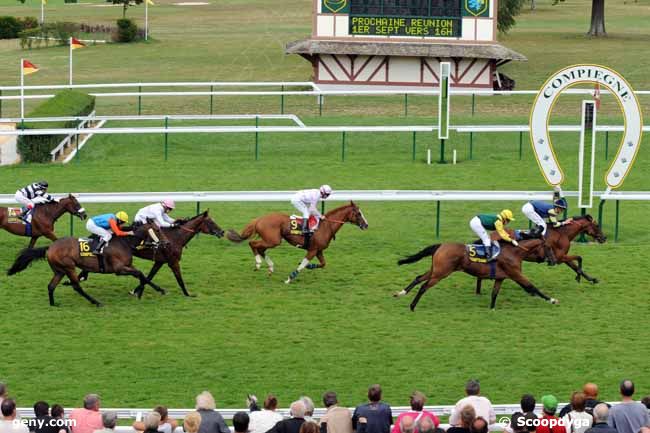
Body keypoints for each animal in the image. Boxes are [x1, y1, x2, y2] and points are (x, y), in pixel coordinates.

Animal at [6, 219, 167, 308]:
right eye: (158, 230)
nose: (166, 243)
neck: (124, 242)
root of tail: (50, 247)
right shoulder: (119, 269)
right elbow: (140, 274)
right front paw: (140, 292)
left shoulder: (128, 266)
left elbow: (142, 275)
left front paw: (157, 290)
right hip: (69, 267)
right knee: (76, 286)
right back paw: (96, 302)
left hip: (59, 270)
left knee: (51, 286)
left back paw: (53, 304)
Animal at [227, 202, 370, 284]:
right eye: (358, 213)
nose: (366, 225)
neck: (325, 226)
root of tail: (259, 219)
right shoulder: (312, 250)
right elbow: (302, 266)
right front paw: (290, 278)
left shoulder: (319, 250)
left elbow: (323, 264)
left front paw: (309, 266)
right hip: (273, 240)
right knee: (253, 243)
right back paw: (258, 264)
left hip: (271, 240)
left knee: (260, 248)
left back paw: (270, 268)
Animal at [394, 236, 556, 310]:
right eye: (549, 247)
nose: (554, 261)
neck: (514, 252)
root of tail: (441, 245)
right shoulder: (516, 274)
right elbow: (532, 287)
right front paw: (552, 300)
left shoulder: (501, 278)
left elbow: (494, 293)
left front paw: (492, 308)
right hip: (441, 273)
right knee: (424, 286)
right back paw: (412, 306)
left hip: (436, 270)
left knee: (418, 278)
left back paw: (401, 293)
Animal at [470, 215, 608, 296]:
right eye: (597, 225)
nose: (604, 238)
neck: (562, 233)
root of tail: (491, 235)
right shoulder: (559, 257)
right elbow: (579, 258)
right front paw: (578, 277)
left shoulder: (563, 257)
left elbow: (575, 265)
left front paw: (592, 279)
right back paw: (479, 291)